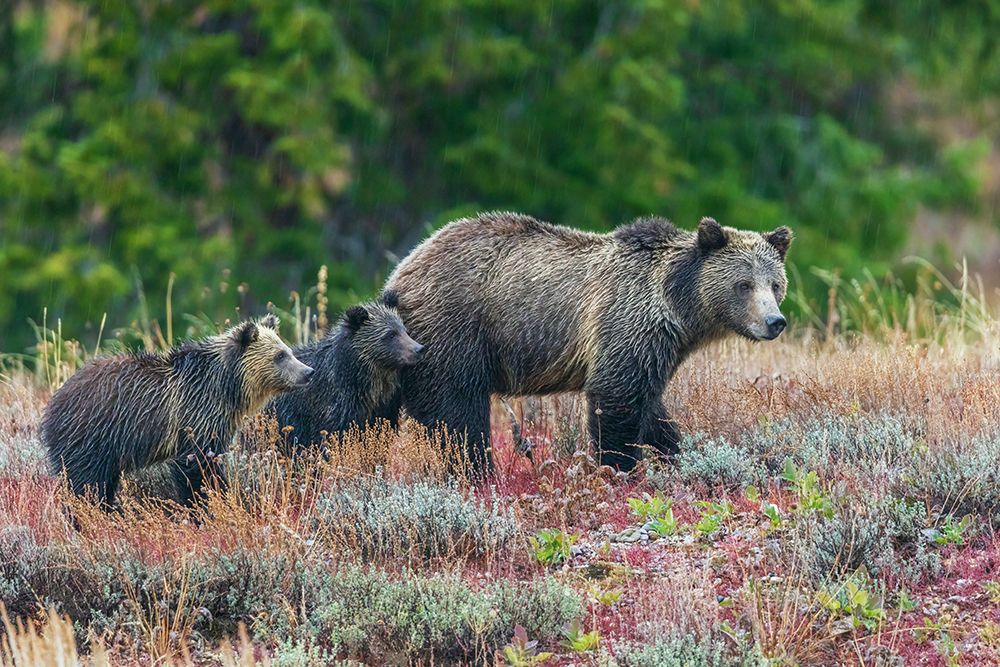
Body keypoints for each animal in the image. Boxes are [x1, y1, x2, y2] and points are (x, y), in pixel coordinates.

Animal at [41, 315, 313, 508]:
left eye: (288, 350)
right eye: (280, 355)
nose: (308, 372)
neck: (226, 386)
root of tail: (51, 404)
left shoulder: (217, 419)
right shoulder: (196, 413)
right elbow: (196, 466)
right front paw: (209, 504)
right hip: (90, 437)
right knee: (85, 483)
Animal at [384, 212, 792, 477]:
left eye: (775, 284)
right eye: (743, 284)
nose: (775, 322)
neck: (677, 307)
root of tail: (401, 271)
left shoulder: (657, 348)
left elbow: (651, 407)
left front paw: (676, 451)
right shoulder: (625, 320)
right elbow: (615, 398)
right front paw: (619, 468)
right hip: (454, 329)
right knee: (456, 409)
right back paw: (478, 470)